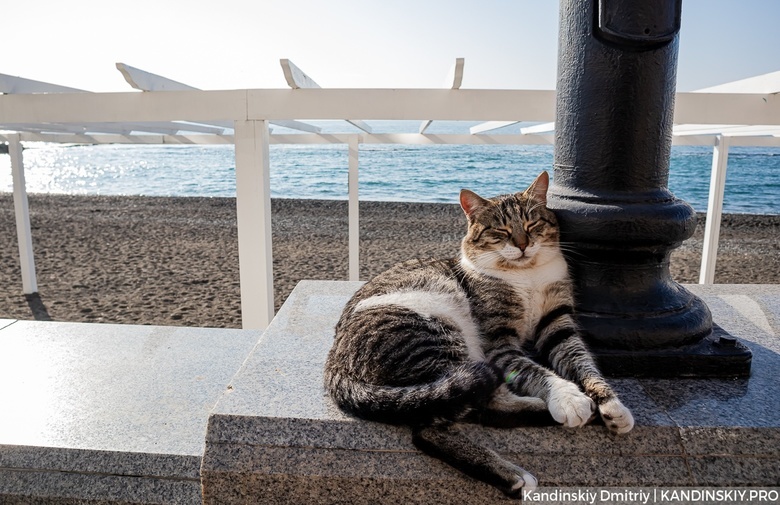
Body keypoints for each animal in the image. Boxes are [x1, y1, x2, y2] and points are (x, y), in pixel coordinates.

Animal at [322, 170, 632, 496]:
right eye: (501, 230)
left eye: (532, 224)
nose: (523, 244)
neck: (527, 274)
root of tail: (334, 365)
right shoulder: (499, 343)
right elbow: (538, 373)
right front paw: (568, 397)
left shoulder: (558, 325)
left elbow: (584, 364)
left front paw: (611, 404)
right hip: (440, 335)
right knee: (440, 424)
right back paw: (516, 470)